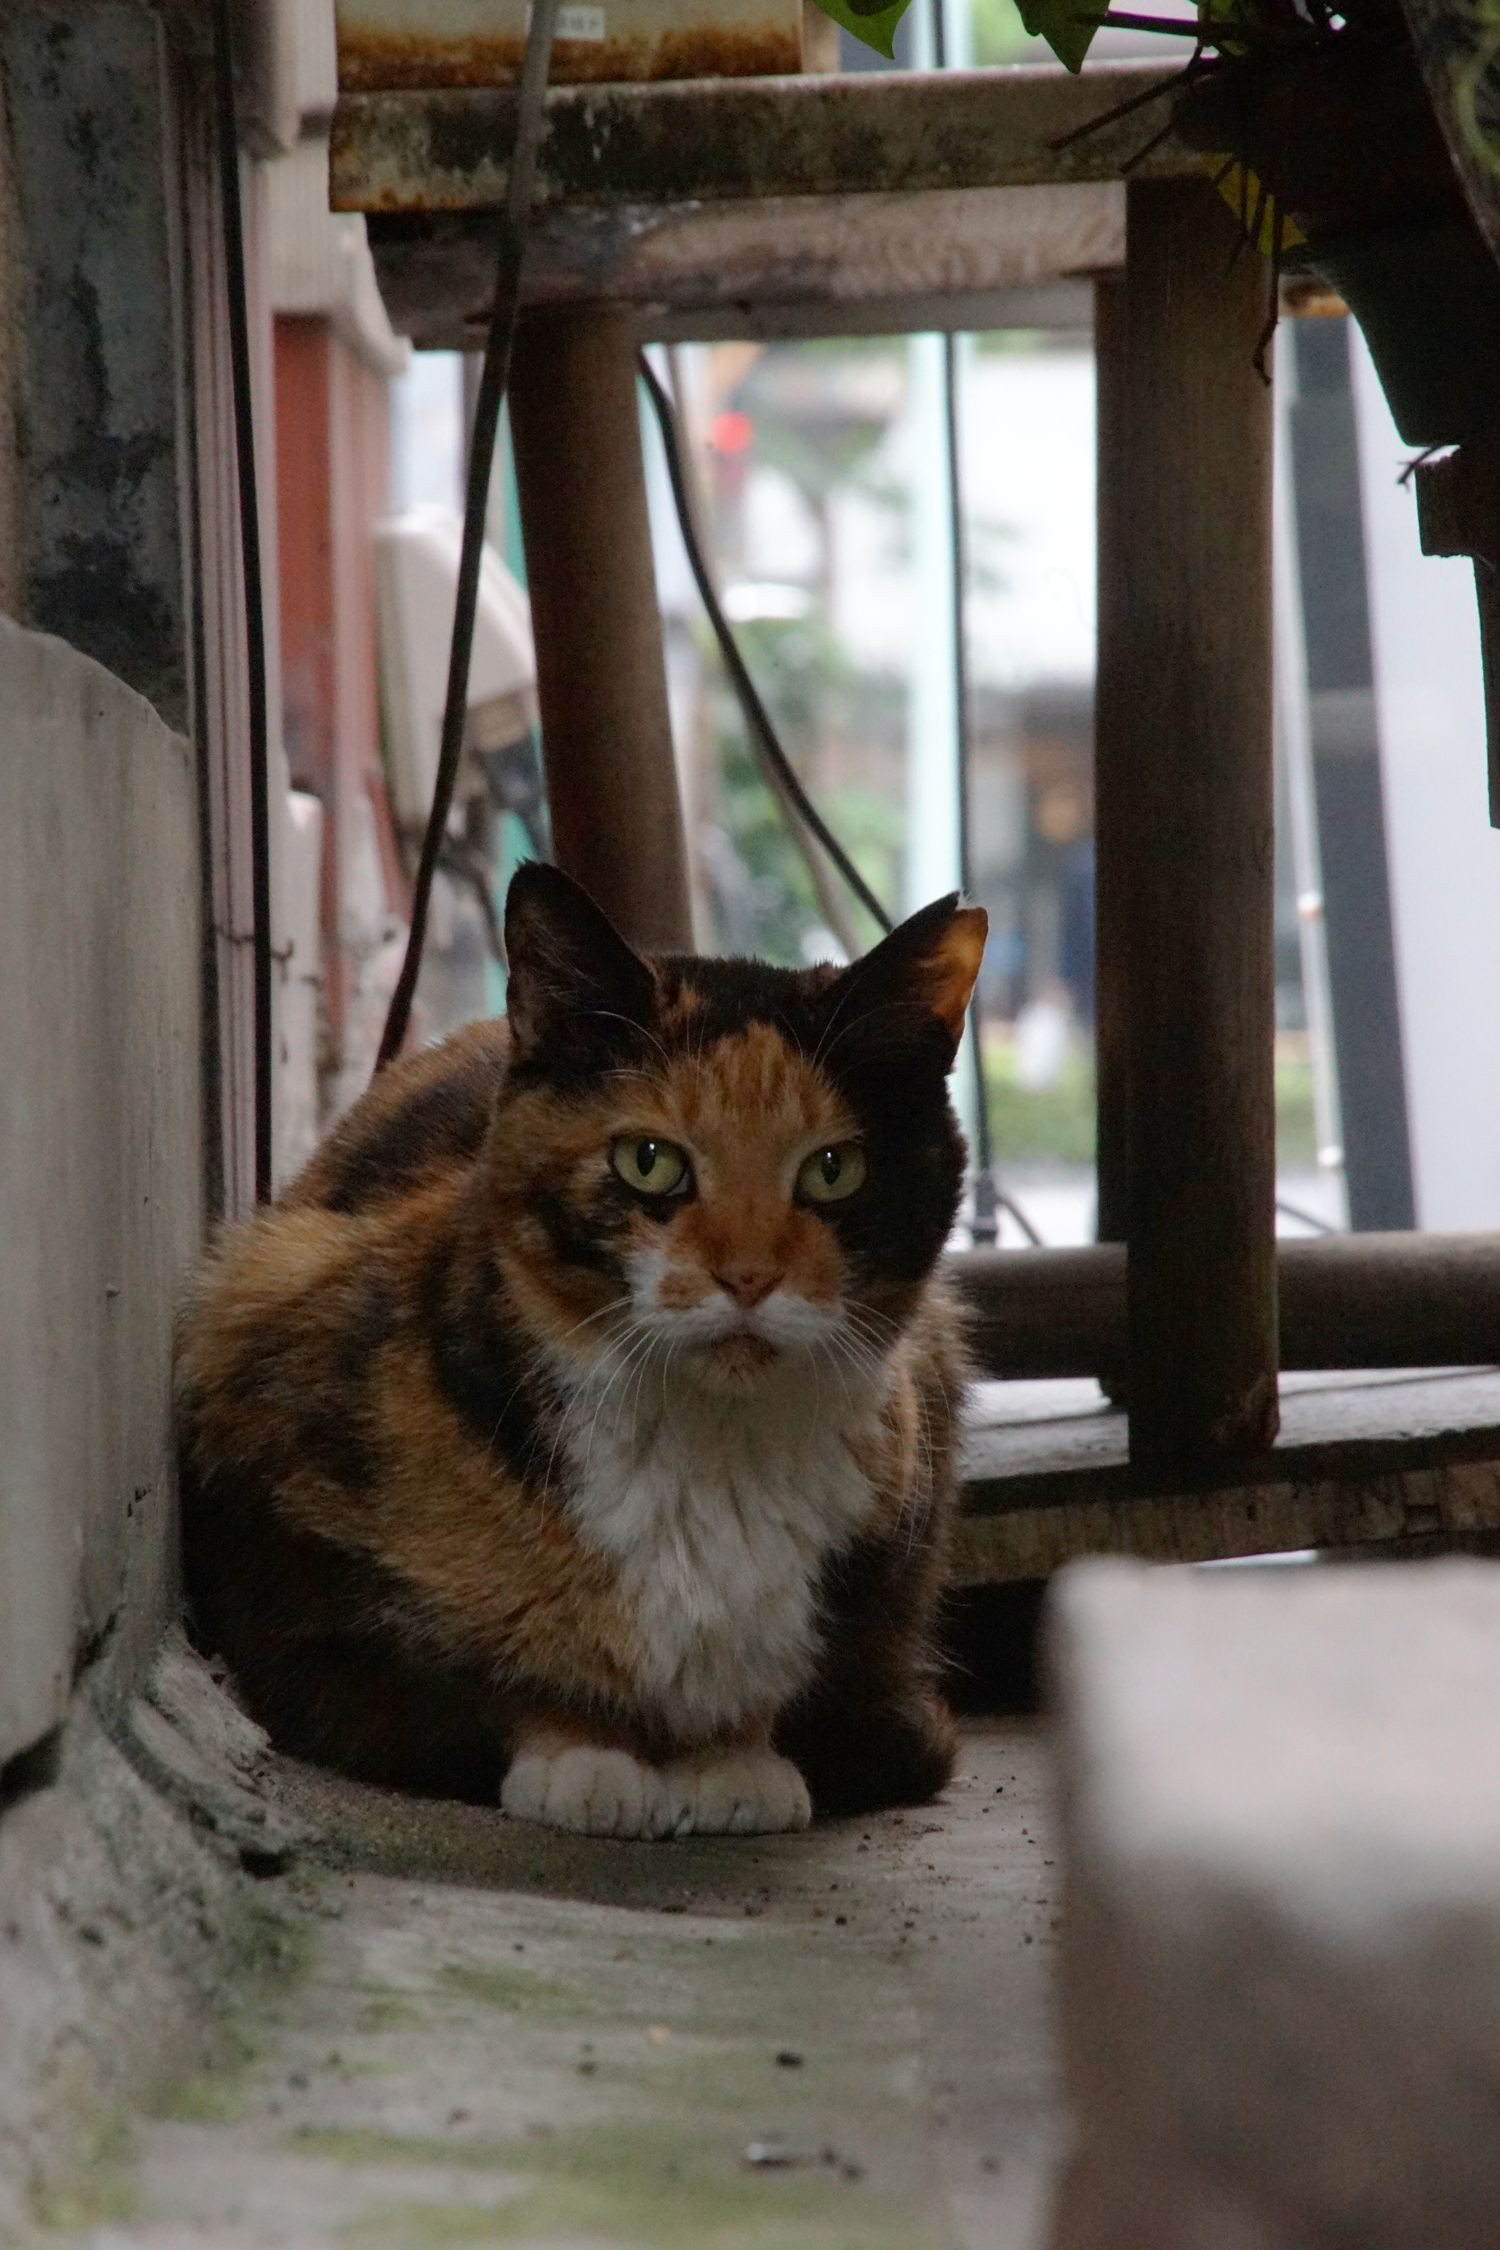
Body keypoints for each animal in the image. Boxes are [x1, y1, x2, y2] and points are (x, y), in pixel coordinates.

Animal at [176, 863, 986, 1839]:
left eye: (835, 1170)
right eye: (649, 1160)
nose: (748, 1277)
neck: (711, 1460)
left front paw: (735, 1764)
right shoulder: (283, 1536)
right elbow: (476, 1674)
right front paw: (584, 1759)